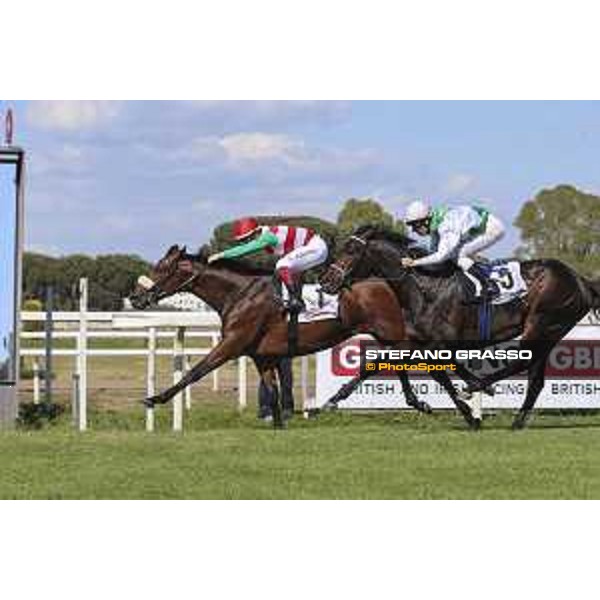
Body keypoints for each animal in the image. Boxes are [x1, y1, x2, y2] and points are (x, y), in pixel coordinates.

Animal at [129, 246, 480, 428]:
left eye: (163, 268)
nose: (135, 297)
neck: (240, 292)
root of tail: (393, 284)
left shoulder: (233, 343)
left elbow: (197, 370)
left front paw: (155, 398)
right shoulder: (261, 355)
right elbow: (271, 389)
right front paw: (278, 424)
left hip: (392, 332)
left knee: (424, 363)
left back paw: (465, 408)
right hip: (387, 335)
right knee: (399, 362)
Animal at [318, 224, 600, 426]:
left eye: (352, 250)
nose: (325, 281)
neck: (425, 288)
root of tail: (581, 279)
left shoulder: (441, 343)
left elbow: (435, 371)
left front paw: (469, 410)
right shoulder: (416, 339)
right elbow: (378, 363)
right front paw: (334, 399)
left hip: (543, 323)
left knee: (523, 361)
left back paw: (478, 387)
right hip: (549, 332)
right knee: (535, 378)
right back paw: (516, 420)